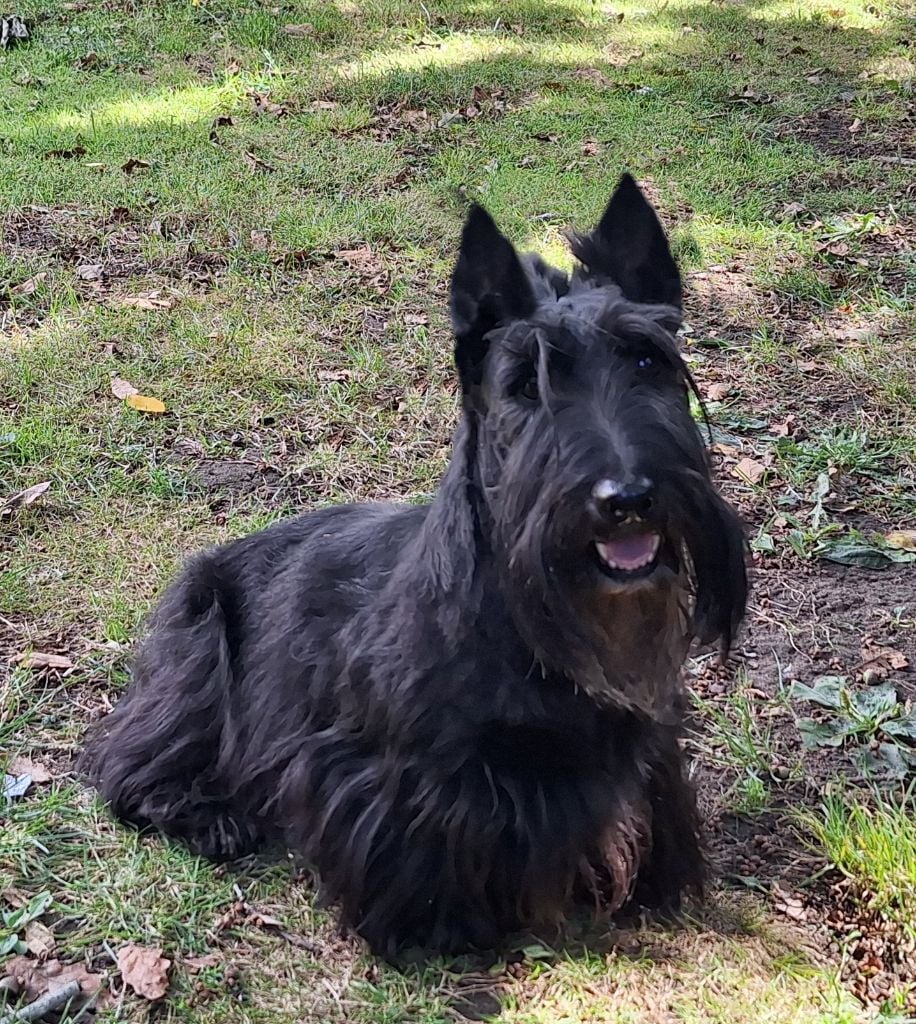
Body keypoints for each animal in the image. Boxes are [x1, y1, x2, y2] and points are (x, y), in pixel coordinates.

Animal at [82, 174, 749, 950]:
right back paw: (211, 816)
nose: (629, 498)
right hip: (198, 644)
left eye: (647, 360)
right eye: (525, 385)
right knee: (126, 761)